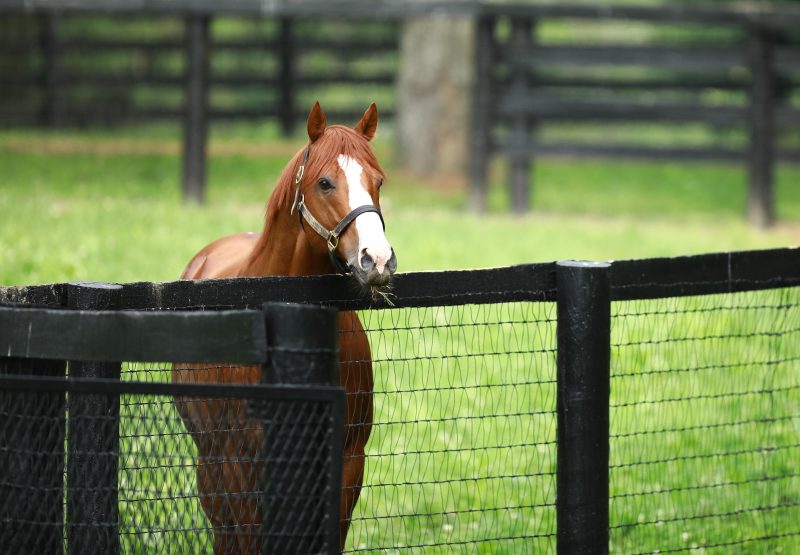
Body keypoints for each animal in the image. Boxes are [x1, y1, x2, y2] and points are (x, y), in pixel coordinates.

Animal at [177, 102, 398, 552]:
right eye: (325, 182)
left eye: (378, 180)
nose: (377, 260)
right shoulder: (238, 462)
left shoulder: (348, 461)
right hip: (211, 463)